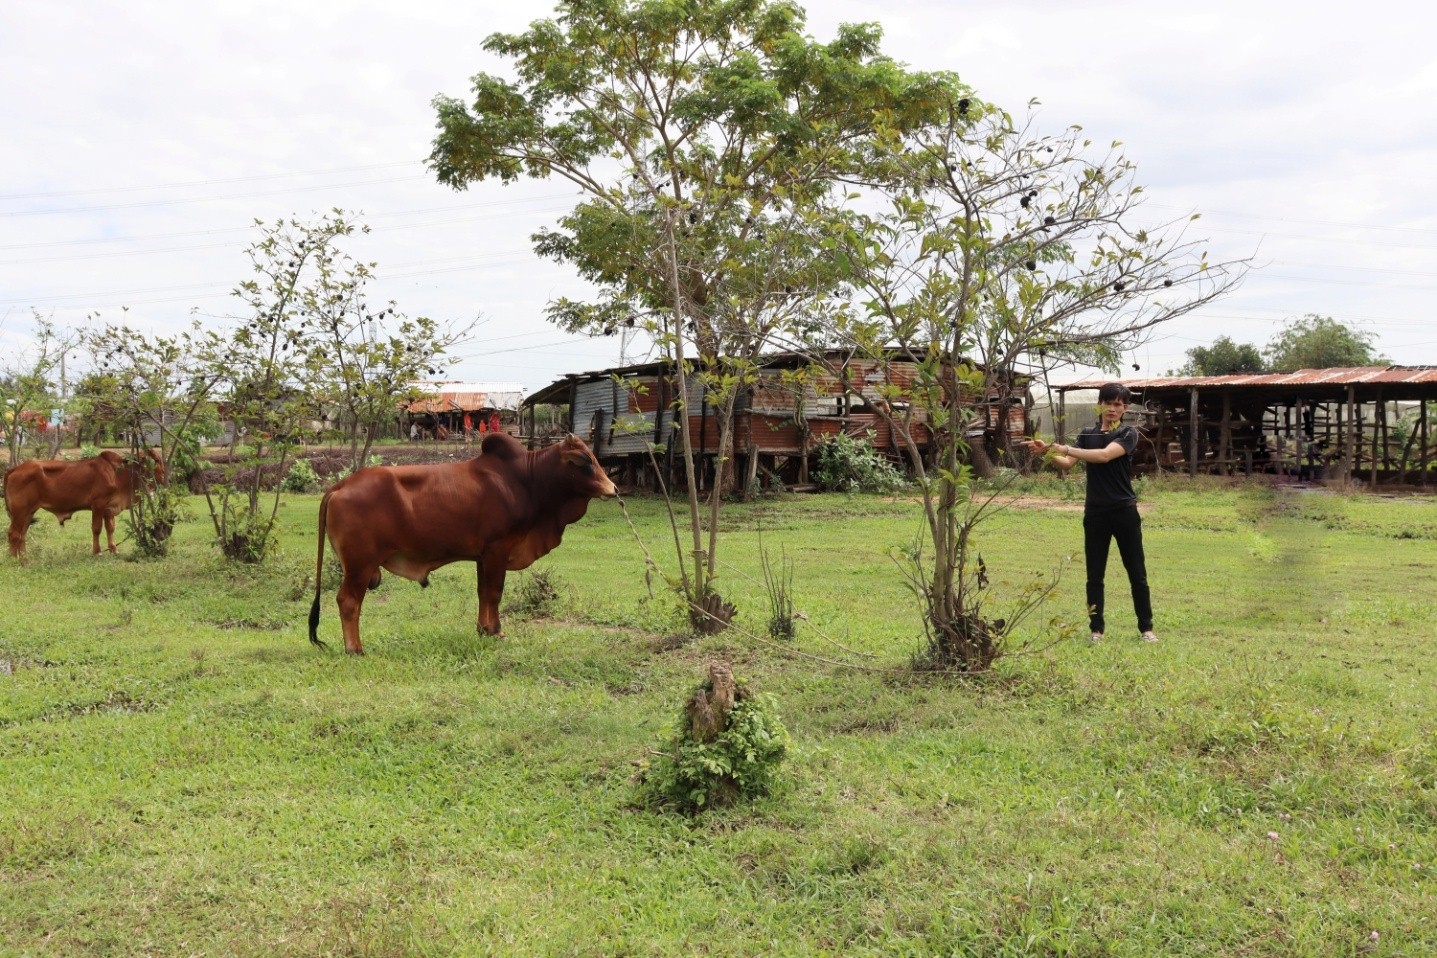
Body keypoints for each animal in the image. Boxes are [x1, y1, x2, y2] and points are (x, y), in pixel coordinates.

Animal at [5, 450, 166, 563]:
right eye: (157, 460)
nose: (165, 478)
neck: (118, 473)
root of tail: (15, 469)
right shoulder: (98, 504)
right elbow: (96, 528)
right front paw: (97, 552)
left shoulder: (108, 509)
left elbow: (110, 528)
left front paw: (114, 550)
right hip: (21, 511)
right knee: (14, 534)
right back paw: (14, 560)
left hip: (29, 512)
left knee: (22, 535)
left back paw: (25, 560)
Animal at [308, 433, 612, 652]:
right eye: (585, 460)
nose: (612, 489)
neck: (526, 480)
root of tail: (340, 486)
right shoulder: (498, 549)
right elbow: (494, 593)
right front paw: (496, 631)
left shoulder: (483, 556)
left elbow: (482, 593)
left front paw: (483, 629)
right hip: (360, 564)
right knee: (348, 601)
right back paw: (355, 649)